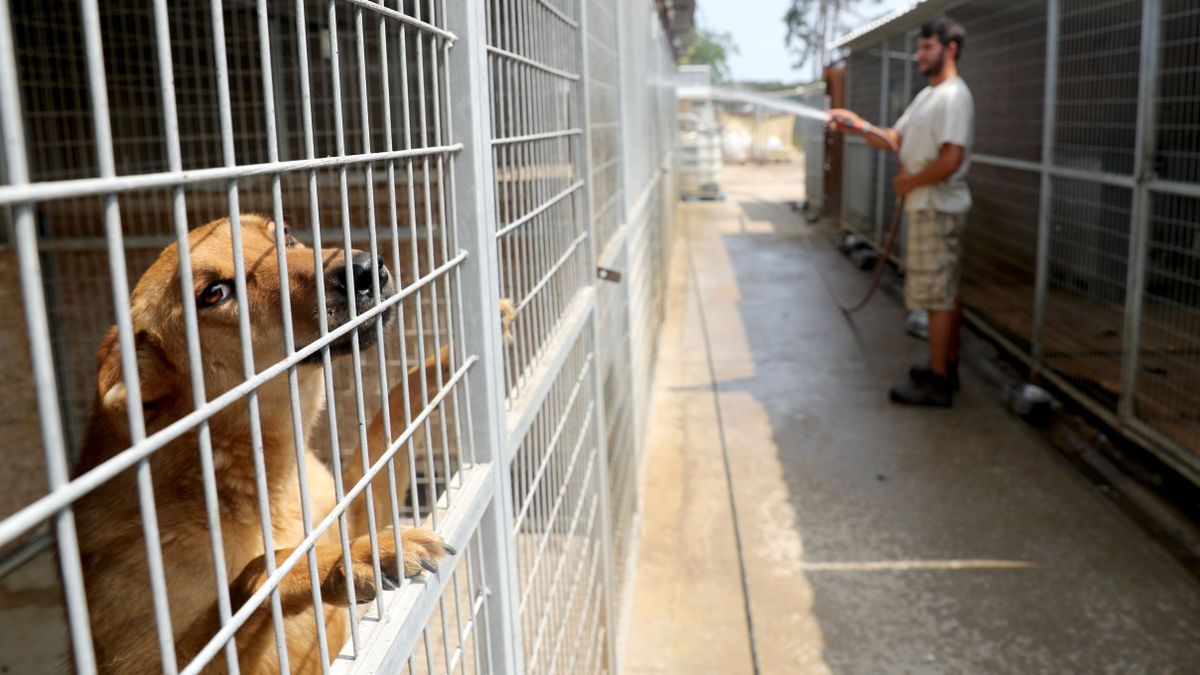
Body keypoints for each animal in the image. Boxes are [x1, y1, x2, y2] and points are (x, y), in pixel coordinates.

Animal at [70, 213, 470, 672]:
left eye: (286, 235)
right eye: (215, 293)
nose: (365, 268)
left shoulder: (349, 509)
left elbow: (394, 412)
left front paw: (461, 347)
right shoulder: (160, 661)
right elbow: (261, 571)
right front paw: (352, 557)